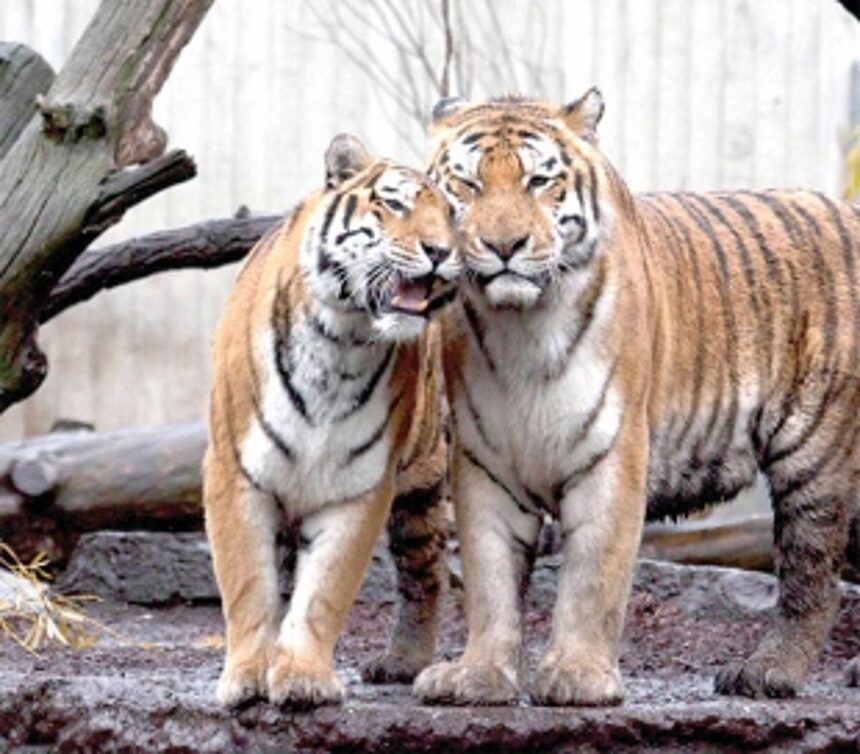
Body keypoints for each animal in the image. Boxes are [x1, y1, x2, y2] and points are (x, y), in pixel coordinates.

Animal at [203, 133, 460, 708]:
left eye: (452, 215)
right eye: (395, 204)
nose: (441, 251)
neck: (343, 343)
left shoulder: (359, 485)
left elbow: (324, 592)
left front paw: (303, 678)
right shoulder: (236, 473)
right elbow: (248, 584)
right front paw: (247, 678)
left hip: (426, 485)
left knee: (429, 574)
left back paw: (410, 661)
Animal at [413, 88, 860, 706]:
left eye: (538, 181)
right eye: (468, 184)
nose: (504, 245)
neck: (520, 327)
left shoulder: (613, 453)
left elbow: (592, 575)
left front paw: (578, 677)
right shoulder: (484, 466)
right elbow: (490, 579)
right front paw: (478, 676)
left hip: (814, 455)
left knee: (810, 577)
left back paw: (766, 673)